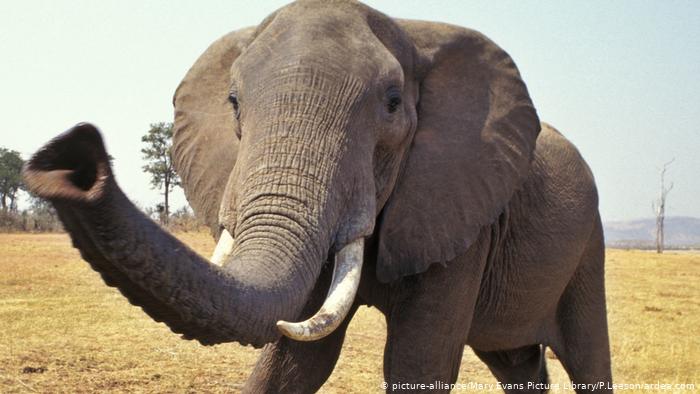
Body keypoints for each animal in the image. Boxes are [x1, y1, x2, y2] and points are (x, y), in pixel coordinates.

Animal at [23, 0, 612, 390]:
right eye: (233, 102)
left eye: (393, 103)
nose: (74, 160)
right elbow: (293, 357)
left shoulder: (463, 210)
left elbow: (417, 363)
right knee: (516, 361)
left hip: (590, 245)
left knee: (587, 357)